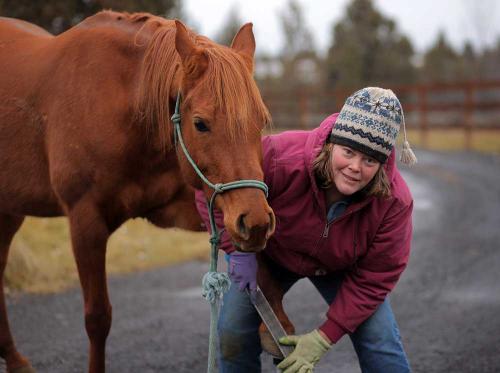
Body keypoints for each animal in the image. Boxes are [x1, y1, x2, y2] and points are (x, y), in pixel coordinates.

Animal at [0, 11, 278, 372]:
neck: (119, 102)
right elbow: (97, 318)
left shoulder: (188, 204)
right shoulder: (85, 221)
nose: (255, 221)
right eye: (201, 124)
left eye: (261, 121)